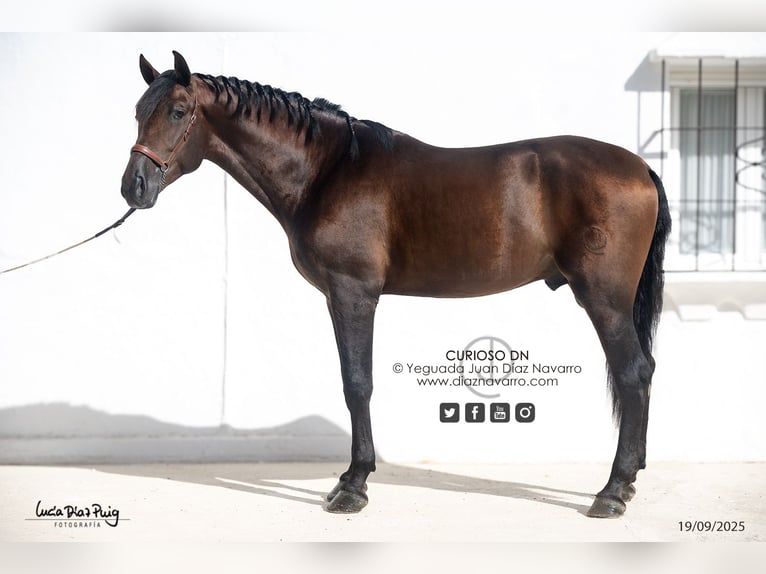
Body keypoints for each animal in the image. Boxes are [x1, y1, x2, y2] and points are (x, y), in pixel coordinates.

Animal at [121, 51, 671, 518]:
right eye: (138, 111)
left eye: (177, 111)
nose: (134, 187)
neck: (327, 171)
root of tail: (641, 167)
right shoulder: (338, 297)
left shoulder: (353, 294)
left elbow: (357, 383)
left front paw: (353, 485)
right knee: (642, 374)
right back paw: (627, 483)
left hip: (604, 299)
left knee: (633, 374)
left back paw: (612, 491)